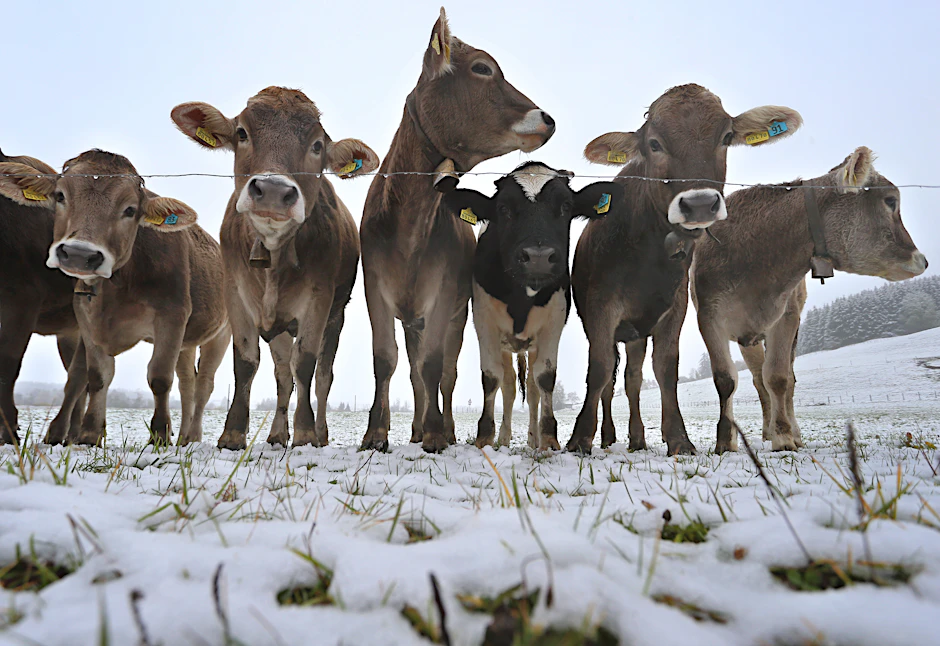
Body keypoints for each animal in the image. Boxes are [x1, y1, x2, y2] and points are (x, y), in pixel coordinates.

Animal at [171, 87, 378, 449]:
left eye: (317, 146)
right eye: (242, 133)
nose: (272, 190)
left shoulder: (319, 300)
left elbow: (306, 363)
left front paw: (306, 433)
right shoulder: (236, 296)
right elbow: (247, 362)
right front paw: (233, 433)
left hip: (335, 316)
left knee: (322, 376)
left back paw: (319, 432)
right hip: (279, 326)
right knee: (282, 373)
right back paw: (277, 433)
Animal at [359, 7, 555, 453]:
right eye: (482, 68)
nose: (547, 118)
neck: (409, 220)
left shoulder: (446, 296)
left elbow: (435, 367)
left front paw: (435, 432)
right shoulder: (374, 287)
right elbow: (385, 360)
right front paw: (376, 434)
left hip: (455, 318)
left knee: (444, 373)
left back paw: (440, 428)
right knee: (413, 370)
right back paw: (414, 429)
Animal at [443, 162, 621, 450]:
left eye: (566, 206)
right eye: (503, 208)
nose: (538, 257)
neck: (521, 300)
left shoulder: (553, 323)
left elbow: (545, 379)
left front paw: (548, 439)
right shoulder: (484, 321)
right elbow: (491, 377)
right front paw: (484, 438)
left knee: (533, 387)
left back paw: (533, 439)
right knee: (508, 386)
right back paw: (504, 439)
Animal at [566, 84, 802, 455]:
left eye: (726, 136)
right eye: (654, 144)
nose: (700, 203)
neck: (646, 255)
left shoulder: (674, 306)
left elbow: (665, 368)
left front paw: (677, 438)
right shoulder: (599, 307)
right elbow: (599, 370)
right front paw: (579, 439)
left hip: (637, 332)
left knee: (633, 379)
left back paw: (637, 439)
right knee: (611, 380)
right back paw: (609, 436)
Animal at [692, 147, 928, 452]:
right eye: (890, 201)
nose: (922, 260)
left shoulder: (786, 316)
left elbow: (778, 378)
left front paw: (784, 437)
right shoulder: (709, 317)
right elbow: (726, 379)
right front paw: (725, 441)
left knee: (785, 380)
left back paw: (791, 431)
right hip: (748, 338)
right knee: (757, 378)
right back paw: (766, 430)